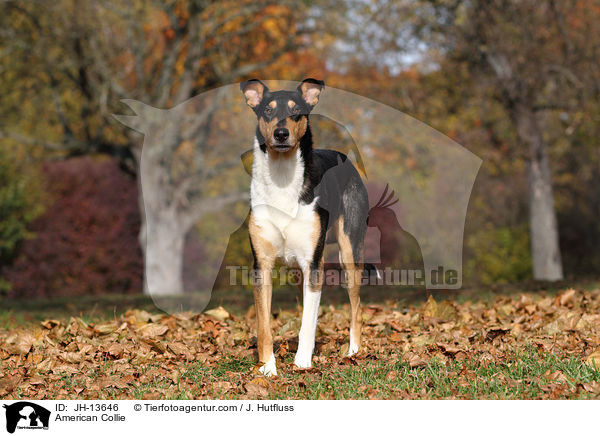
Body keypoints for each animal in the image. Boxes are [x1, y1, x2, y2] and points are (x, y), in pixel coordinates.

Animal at [240, 79, 370, 374]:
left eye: (297, 110)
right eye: (267, 110)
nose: (281, 133)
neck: (282, 177)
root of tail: (345, 158)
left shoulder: (313, 263)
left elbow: (308, 322)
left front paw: (302, 362)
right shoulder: (261, 264)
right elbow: (264, 325)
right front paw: (267, 367)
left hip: (350, 251)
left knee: (357, 306)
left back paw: (354, 352)